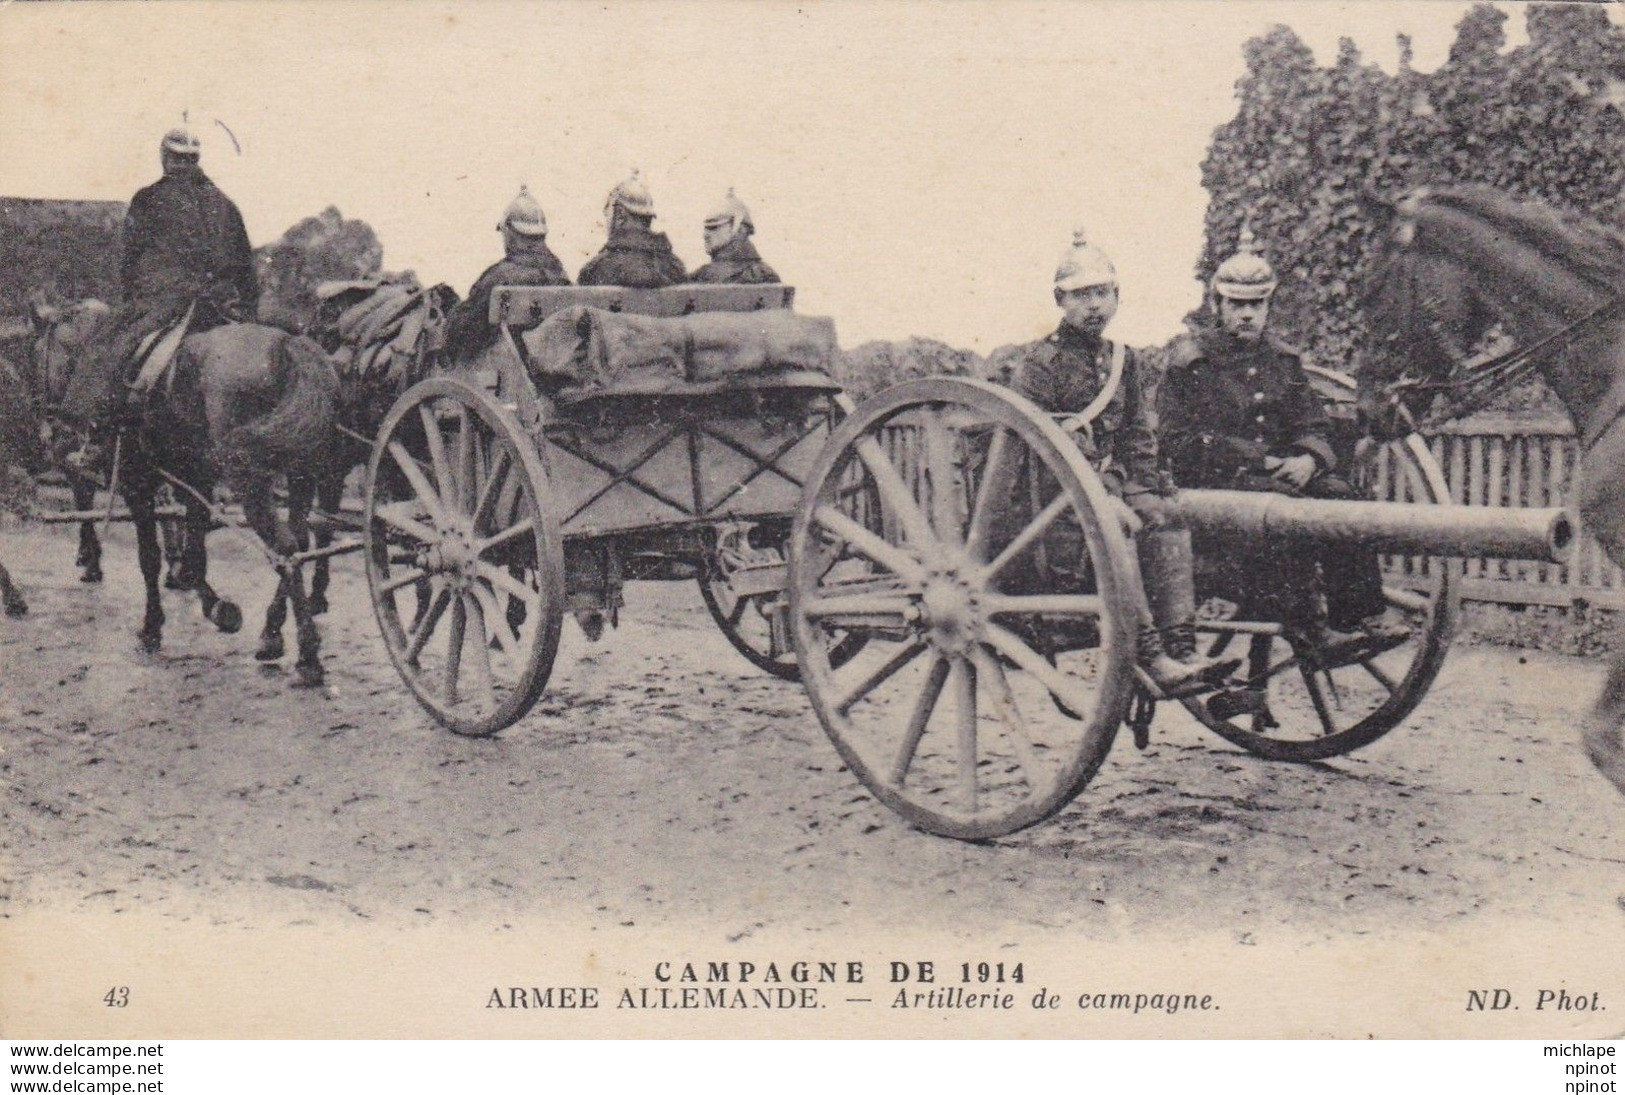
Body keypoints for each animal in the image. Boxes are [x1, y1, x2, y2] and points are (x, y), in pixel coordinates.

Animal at [58, 308, 339, 682]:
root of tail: (288, 346)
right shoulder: (194, 480)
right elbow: (193, 553)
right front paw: (218, 607)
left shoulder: (137, 481)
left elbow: (150, 557)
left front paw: (152, 628)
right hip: (301, 475)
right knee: (299, 542)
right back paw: (272, 635)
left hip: (251, 481)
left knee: (284, 546)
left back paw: (307, 653)